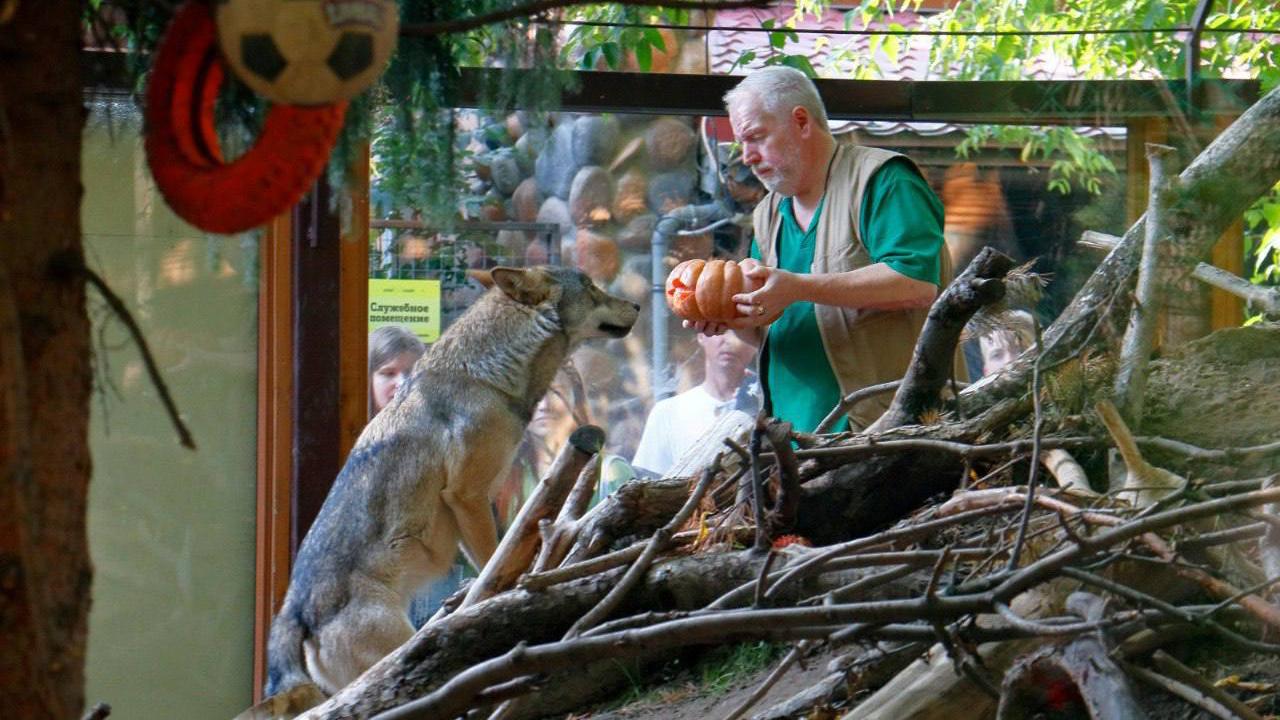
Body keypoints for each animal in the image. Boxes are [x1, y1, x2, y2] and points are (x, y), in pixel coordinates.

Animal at [238, 266, 637, 712]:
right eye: (590, 287)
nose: (638, 305)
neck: (485, 376)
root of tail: (292, 611)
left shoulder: (473, 504)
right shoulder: (466, 495)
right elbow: (495, 560)